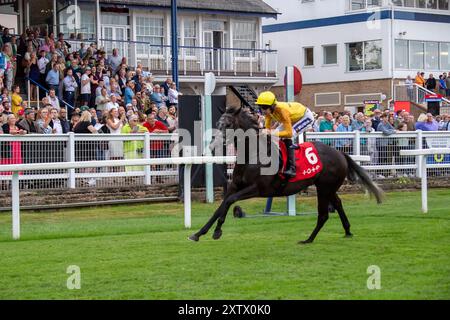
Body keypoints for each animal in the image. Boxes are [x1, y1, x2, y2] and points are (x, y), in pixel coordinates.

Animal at [188, 106, 382, 244]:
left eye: (228, 125)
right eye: (218, 124)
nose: (212, 144)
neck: (252, 154)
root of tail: (340, 153)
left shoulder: (257, 189)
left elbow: (229, 201)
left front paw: (217, 231)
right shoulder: (235, 186)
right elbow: (220, 206)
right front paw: (198, 233)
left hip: (325, 188)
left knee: (324, 214)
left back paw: (308, 239)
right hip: (328, 187)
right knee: (338, 204)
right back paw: (347, 231)